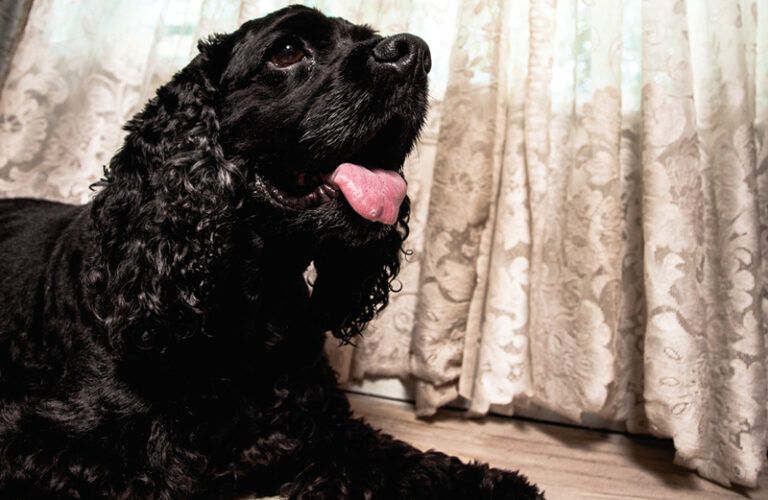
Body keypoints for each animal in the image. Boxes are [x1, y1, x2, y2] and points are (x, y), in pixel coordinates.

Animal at [0, 5, 540, 498]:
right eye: (286, 51)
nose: (416, 54)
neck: (247, 305)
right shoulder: (45, 441)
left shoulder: (324, 430)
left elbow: (411, 464)